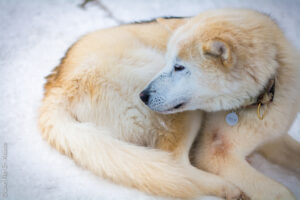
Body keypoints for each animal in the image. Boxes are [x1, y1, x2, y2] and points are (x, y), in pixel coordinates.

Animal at [38, 8, 298, 199]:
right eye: (169, 62)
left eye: (179, 67)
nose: (143, 96)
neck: (264, 96)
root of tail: (56, 88)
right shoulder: (214, 154)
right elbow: (279, 191)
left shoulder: (273, 137)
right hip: (183, 112)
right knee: (175, 165)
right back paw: (226, 188)